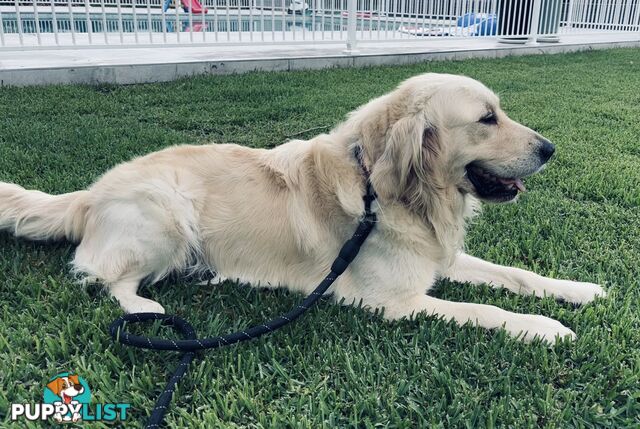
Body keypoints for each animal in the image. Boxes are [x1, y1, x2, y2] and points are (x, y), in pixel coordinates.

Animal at [0, 72, 604, 342]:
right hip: (167, 211)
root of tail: (90, 193)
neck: (386, 192)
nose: (550, 149)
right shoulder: (392, 301)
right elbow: (485, 309)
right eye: (487, 119)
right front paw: (545, 328)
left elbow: (515, 274)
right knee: (103, 278)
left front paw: (578, 291)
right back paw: (148, 308)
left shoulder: (439, 258)